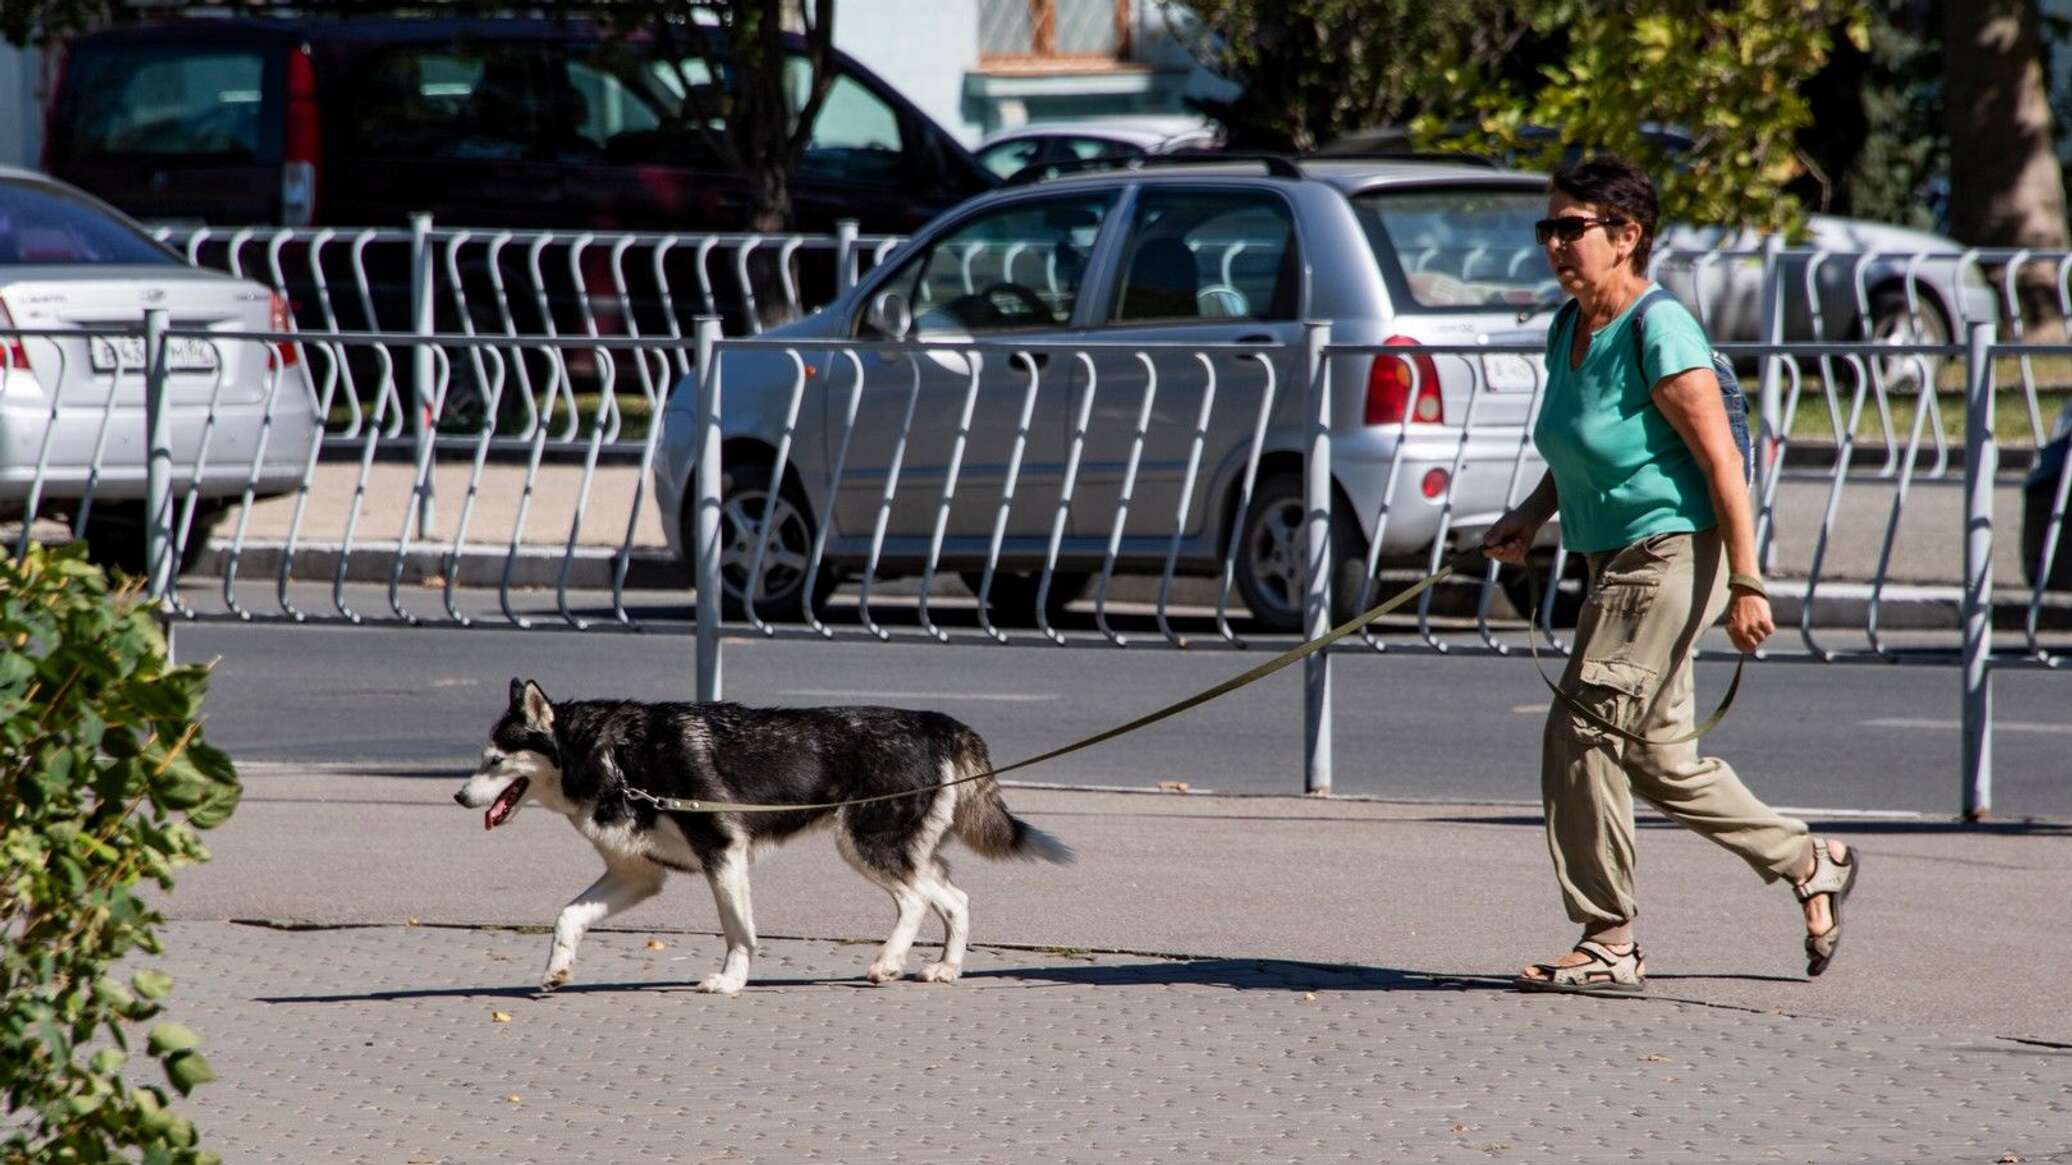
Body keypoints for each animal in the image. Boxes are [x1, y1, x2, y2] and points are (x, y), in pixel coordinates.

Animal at [453, 679, 1069, 986]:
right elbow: (568, 917)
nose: (459, 797)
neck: (614, 758)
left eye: (494, 760)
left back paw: (888, 962)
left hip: (866, 845)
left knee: (916, 901)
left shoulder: (723, 856)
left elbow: (737, 931)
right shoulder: (639, 876)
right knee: (954, 899)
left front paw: (731, 980)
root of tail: (938, 721)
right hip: (898, 851)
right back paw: (944, 967)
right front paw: (556, 969)